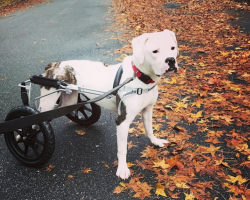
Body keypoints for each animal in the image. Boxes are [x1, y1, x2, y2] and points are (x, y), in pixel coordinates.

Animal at [38, 28, 178, 179]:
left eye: (173, 48)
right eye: (155, 51)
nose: (171, 60)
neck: (140, 77)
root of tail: (54, 64)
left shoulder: (147, 110)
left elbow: (149, 129)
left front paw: (155, 141)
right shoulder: (122, 121)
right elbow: (122, 149)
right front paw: (122, 168)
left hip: (71, 98)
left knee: (65, 109)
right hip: (47, 102)